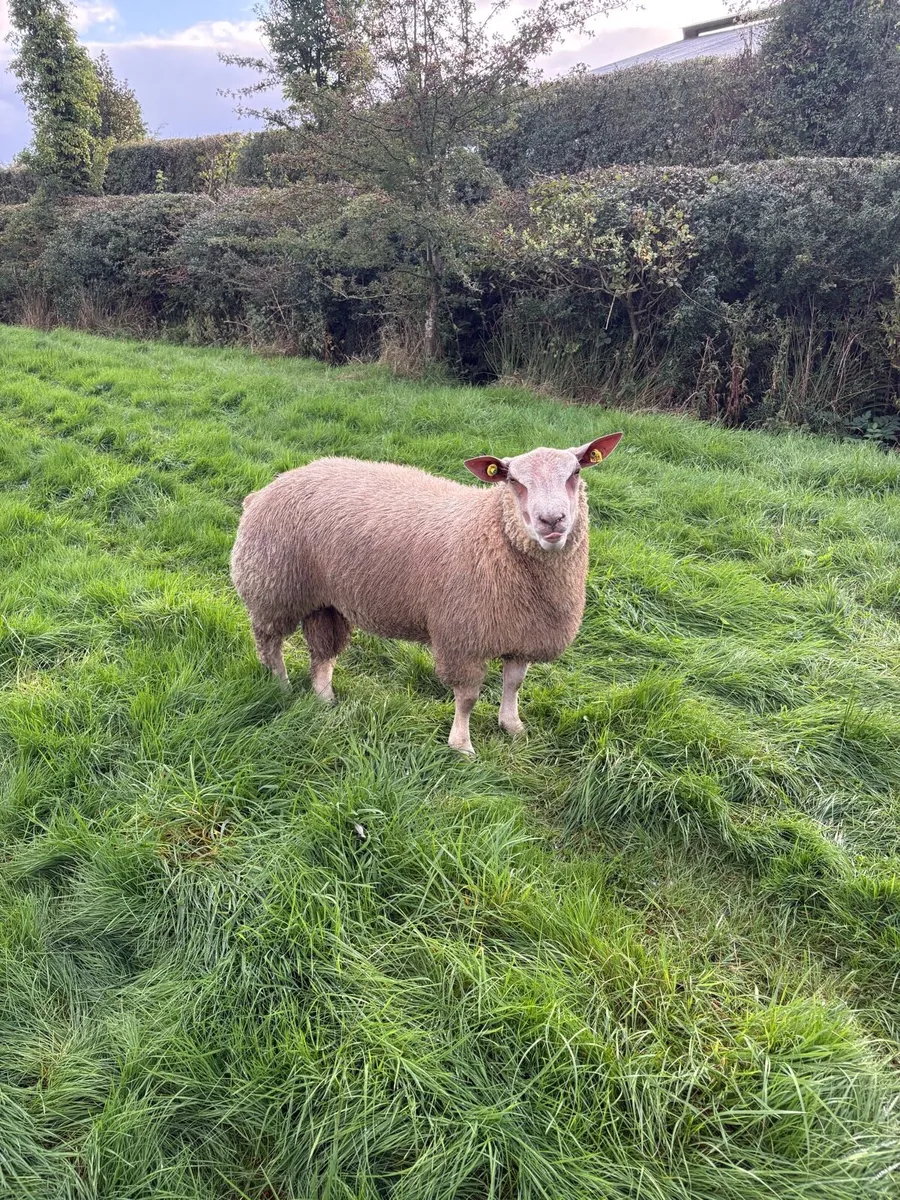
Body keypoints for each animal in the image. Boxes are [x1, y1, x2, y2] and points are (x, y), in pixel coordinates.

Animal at [230, 433, 623, 755]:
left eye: (575, 472)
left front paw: (512, 726)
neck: (492, 531)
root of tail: (267, 488)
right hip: (272, 588)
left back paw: (325, 698)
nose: (551, 521)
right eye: (512, 480)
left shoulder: (521, 634)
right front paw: (461, 746)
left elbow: (514, 684)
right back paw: (281, 687)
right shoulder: (462, 639)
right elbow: (467, 698)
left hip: (325, 601)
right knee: (270, 644)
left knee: (322, 653)